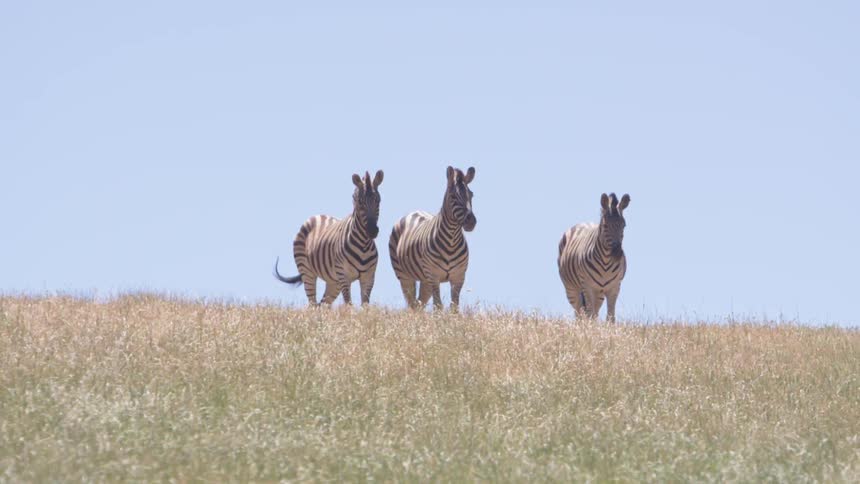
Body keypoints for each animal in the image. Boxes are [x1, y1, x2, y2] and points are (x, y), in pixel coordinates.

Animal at [273, 170, 384, 306]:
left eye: (378, 201)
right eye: (360, 202)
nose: (372, 231)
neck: (363, 245)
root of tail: (316, 216)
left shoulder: (368, 278)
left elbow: (365, 305)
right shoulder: (344, 276)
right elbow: (349, 304)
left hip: (333, 281)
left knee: (323, 305)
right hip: (307, 271)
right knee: (312, 303)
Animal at [389, 166, 476, 312]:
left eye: (471, 195)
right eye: (453, 196)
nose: (471, 222)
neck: (451, 240)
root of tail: (413, 211)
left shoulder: (458, 277)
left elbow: (454, 307)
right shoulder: (434, 276)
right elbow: (438, 306)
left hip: (425, 280)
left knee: (419, 303)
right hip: (405, 276)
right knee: (411, 303)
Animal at [558, 192, 631, 322]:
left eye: (624, 225)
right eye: (605, 226)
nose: (617, 254)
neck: (606, 261)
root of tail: (582, 223)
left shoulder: (615, 287)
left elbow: (610, 316)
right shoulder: (587, 286)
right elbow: (589, 314)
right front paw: (589, 328)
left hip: (599, 293)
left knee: (593, 312)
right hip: (571, 289)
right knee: (579, 312)